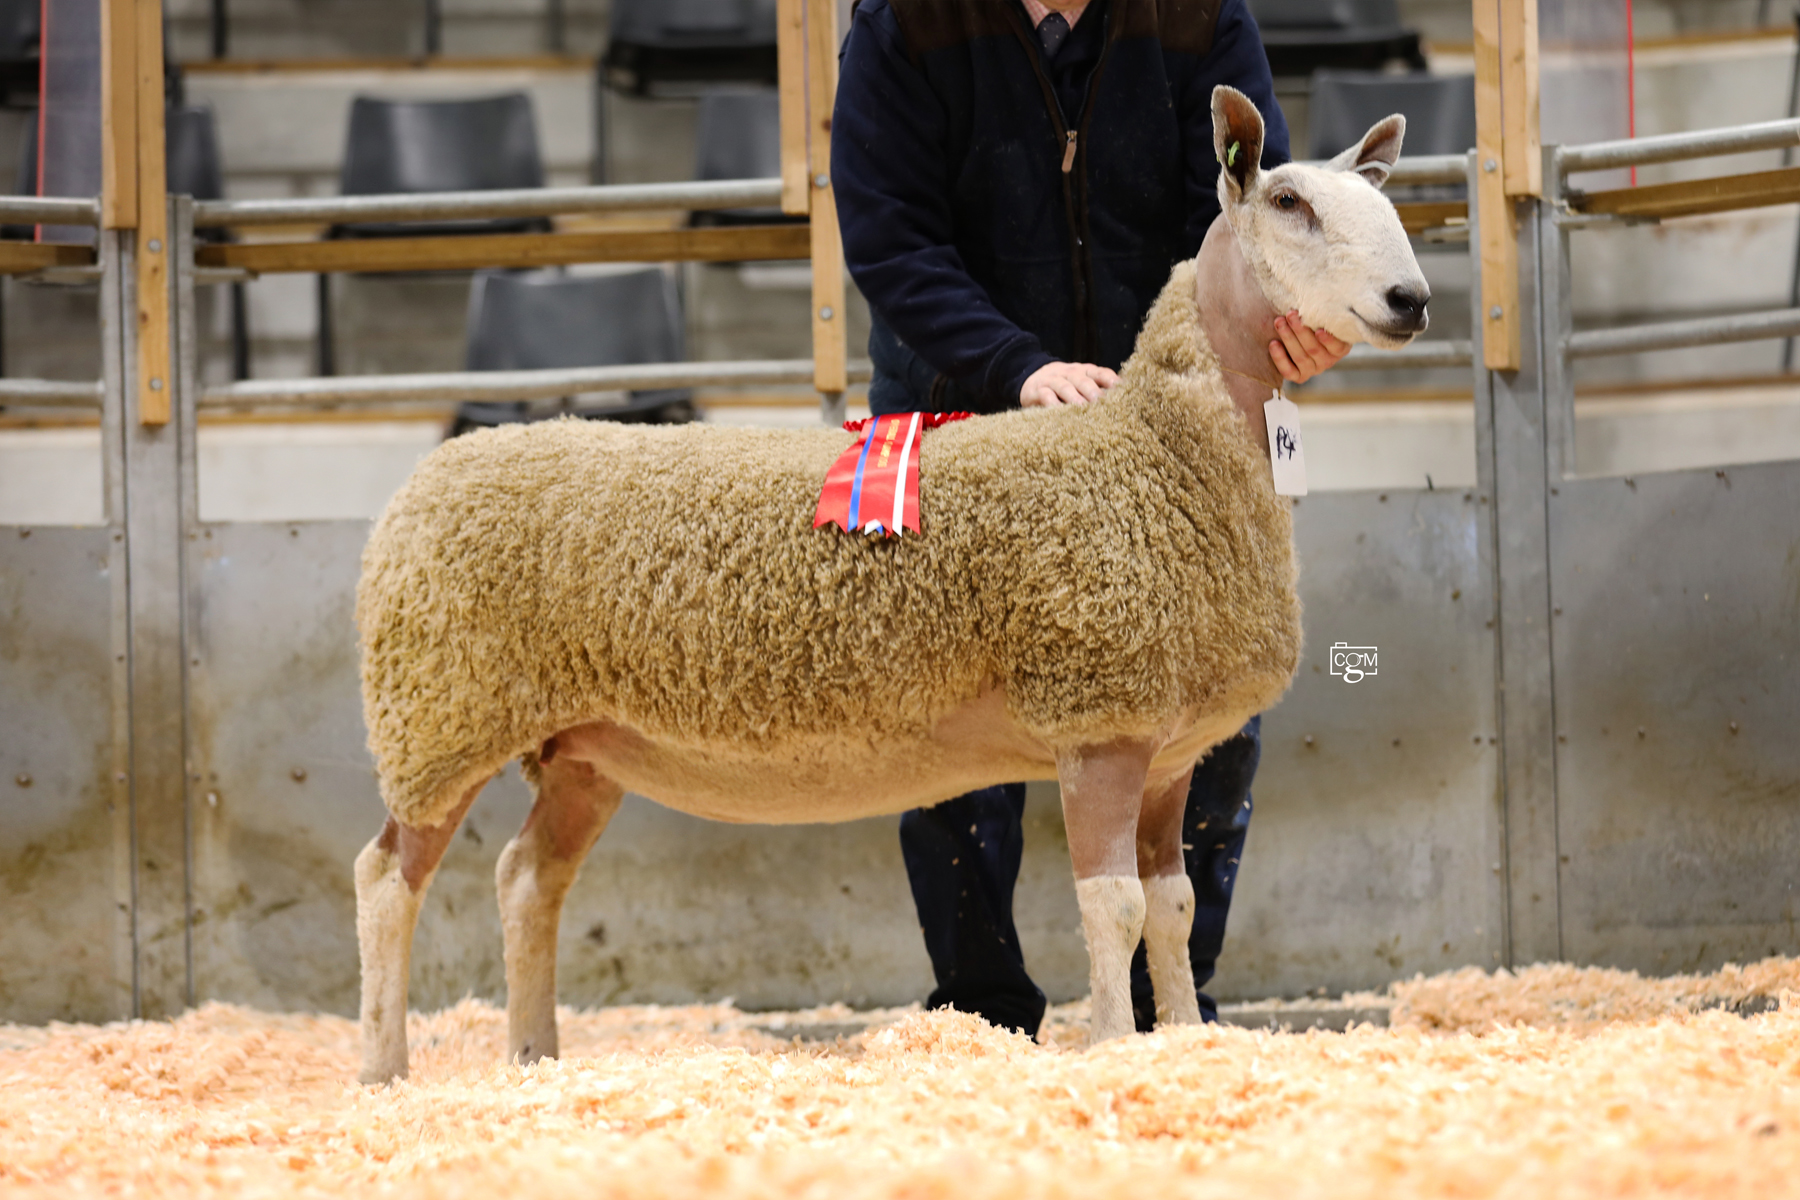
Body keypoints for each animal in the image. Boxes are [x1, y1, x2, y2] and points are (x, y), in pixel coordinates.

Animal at [347, 82, 1418, 1079]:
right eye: (1288, 201)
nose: (1412, 300)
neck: (1154, 452)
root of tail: (423, 481)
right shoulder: (1099, 723)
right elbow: (1112, 909)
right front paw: (1115, 1046)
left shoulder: (1170, 747)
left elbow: (1174, 905)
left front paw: (1187, 1042)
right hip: (441, 715)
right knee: (386, 878)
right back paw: (383, 1070)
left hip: (582, 745)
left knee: (528, 878)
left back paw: (533, 1058)